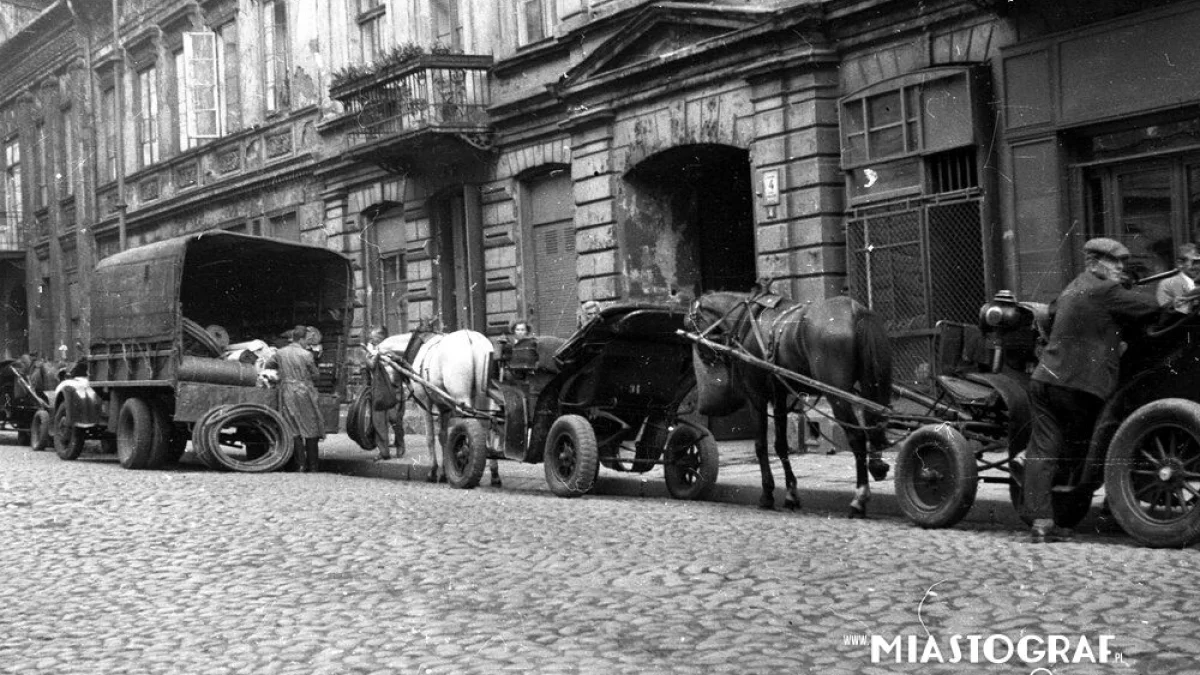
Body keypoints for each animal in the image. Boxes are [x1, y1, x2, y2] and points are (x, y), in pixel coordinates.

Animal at [372, 326, 499, 480]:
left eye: (377, 368)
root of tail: (471, 339)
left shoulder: (424, 401)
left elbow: (430, 437)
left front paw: (433, 470)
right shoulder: (444, 406)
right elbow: (442, 436)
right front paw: (444, 471)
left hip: (462, 398)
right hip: (486, 397)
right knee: (489, 429)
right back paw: (494, 472)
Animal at [696, 288, 892, 514]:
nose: (704, 356)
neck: (747, 319)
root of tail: (855, 310)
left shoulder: (756, 395)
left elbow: (761, 445)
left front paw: (767, 494)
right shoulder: (780, 395)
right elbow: (781, 444)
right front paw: (790, 494)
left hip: (838, 394)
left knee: (857, 436)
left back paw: (859, 498)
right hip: (867, 386)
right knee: (874, 423)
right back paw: (876, 467)